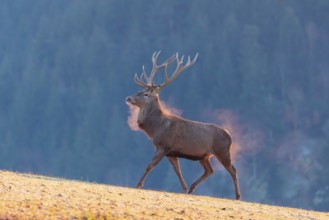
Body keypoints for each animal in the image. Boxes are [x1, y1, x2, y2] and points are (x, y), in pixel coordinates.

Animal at [125, 51, 241, 199]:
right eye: (138, 91)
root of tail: (230, 136)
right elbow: (177, 170)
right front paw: (184, 189)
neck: (156, 127)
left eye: (145, 94)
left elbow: (150, 165)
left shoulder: (163, 145)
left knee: (233, 170)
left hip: (223, 151)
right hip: (204, 156)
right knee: (210, 170)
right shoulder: (171, 152)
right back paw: (192, 188)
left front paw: (138, 184)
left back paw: (237, 196)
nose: (128, 97)